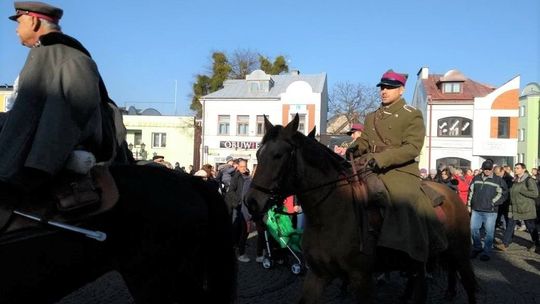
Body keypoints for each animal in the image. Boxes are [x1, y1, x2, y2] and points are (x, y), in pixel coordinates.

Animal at [247, 115, 474, 302]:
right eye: (258, 154)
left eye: (278, 155)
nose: (251, 202)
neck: (330, 215)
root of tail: (451, 193)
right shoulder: (318, 275)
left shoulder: (362, 278)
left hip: (461, 253)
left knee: (468, 283)